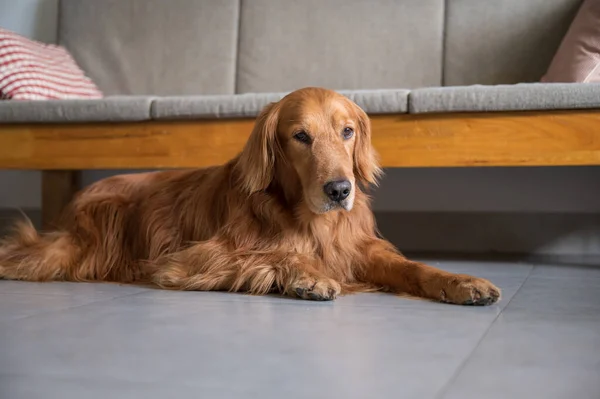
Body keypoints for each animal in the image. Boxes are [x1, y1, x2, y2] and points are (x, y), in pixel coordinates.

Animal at [0, 88, 502, 306]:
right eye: (300, 136)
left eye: (347, 131)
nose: (340, 189)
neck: (308, 218)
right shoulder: (189, 259)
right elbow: (273, 253)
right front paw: (306, 276)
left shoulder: (359, 249)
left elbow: (414, 267)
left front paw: (463, 282)